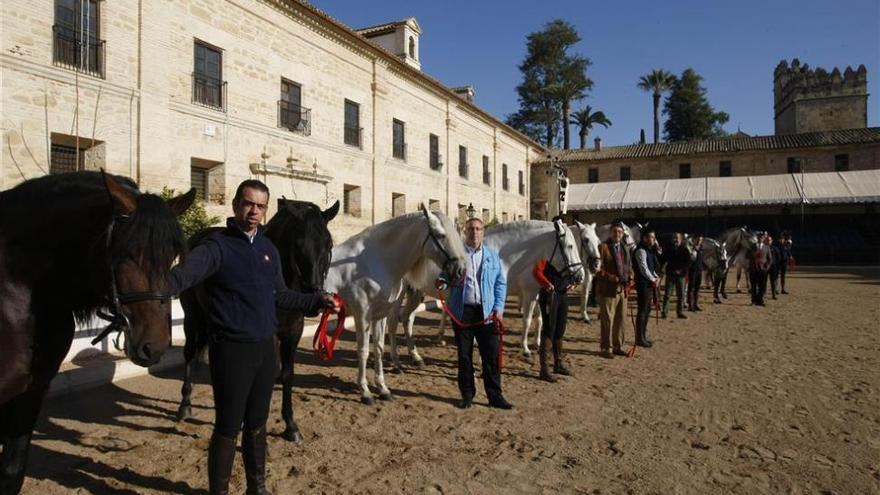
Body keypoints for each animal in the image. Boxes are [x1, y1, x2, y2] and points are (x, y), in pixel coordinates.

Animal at [174, 200, 336, 444]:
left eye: (328, 243)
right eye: (298, 243)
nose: (313, 290)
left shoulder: (293, 333)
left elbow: (287, 374)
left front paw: (291, 426)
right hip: (193, 317)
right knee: (190, 353)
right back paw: (185, 406)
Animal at [324, 207, 468, 404]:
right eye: (440, 235)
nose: (461, 270)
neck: (374, 262)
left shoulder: (379, 315)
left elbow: (378, 348)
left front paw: (383, 389)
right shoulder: (362, 315)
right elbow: (363, 350)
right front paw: (365, 392)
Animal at [390, 219, 584, 366]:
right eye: (570, 246)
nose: (580, 276)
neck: (501, 254)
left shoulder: (532, 294)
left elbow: (538, 320)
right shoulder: (528, 294)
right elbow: (527, 321)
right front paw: (525, 349)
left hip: (416, 292)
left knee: (407, 319)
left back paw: (416, 356)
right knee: (395, 322)